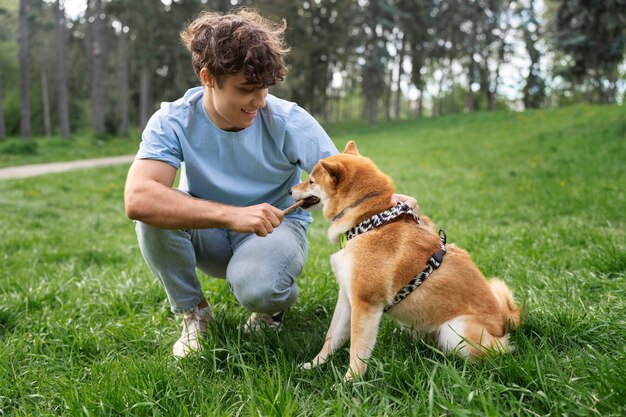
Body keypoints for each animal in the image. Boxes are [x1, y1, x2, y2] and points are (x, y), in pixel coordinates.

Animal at [290, 141, 520, 380]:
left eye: (311, 181)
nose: (290, 190)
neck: (368, 222)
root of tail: (504, 321)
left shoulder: (365, 304)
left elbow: (357, 350)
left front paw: (349, 382)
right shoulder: (347, 297)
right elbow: (331, 337)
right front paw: (314, 364)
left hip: (456, 331)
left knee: (494, 352)